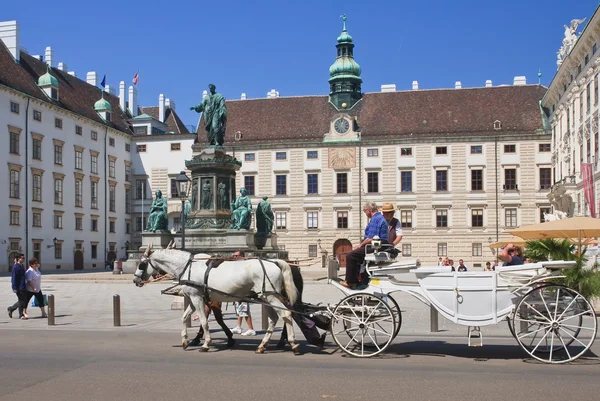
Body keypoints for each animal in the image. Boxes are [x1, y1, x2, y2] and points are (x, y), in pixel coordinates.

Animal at [132, 244, 298, 354]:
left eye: (142, 264)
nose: (135, 280)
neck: (187, 266)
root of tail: (275, 262)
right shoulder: (193, 299)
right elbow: (184, 317)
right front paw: (185, 341)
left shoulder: (197, 298)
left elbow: (204, 321)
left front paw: (206, 344)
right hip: (264, 297)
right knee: (273, 319)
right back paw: (262, 345)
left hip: (271, 296)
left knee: (286, 314)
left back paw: (293, 344)